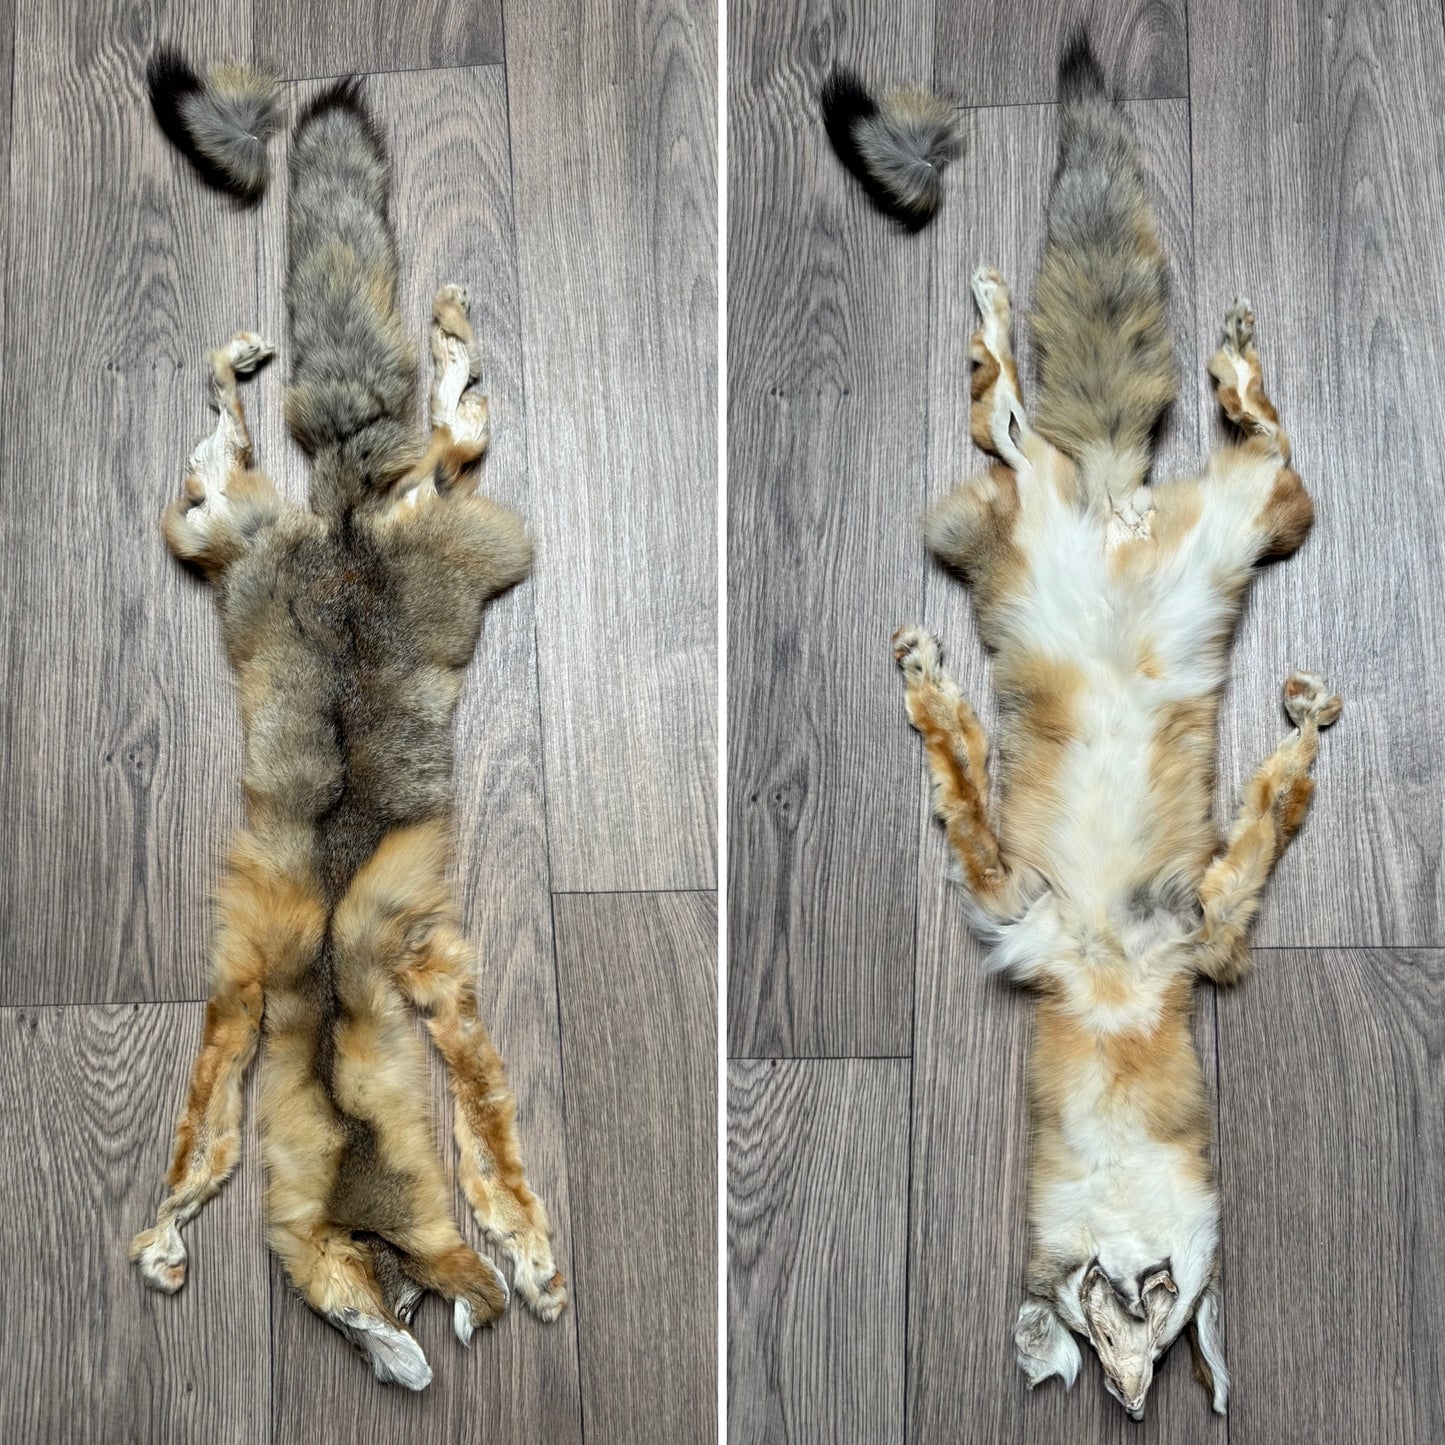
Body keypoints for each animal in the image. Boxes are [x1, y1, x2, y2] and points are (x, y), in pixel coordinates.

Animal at [129, 58, 566, 1388]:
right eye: (372, 1311)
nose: (411, 1364)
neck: (327, 985)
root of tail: (345, 523)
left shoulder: (393, 970)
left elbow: (485, 1147)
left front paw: (526, 1256)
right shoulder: (273, 989)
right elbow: (205, 1150)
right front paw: (164, 1237)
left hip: (403, 540)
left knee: (426, 435)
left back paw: (412, 335)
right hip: (257, 539)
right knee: (275, 450)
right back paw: (300, 353)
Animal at [892, 31, 1339, 1419]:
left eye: (1173, 1316)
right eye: (1111, 1325)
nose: (1138, 1399)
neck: (1109, 991)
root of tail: (1112, 499)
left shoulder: (1197, 919)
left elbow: (1271, 805)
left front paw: (1303, 733)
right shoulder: (1019, 905)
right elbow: (961, 785)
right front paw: (932, 698)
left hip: (1255, 525)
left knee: (1216, 440)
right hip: (1139, 515)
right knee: (1002, 411)